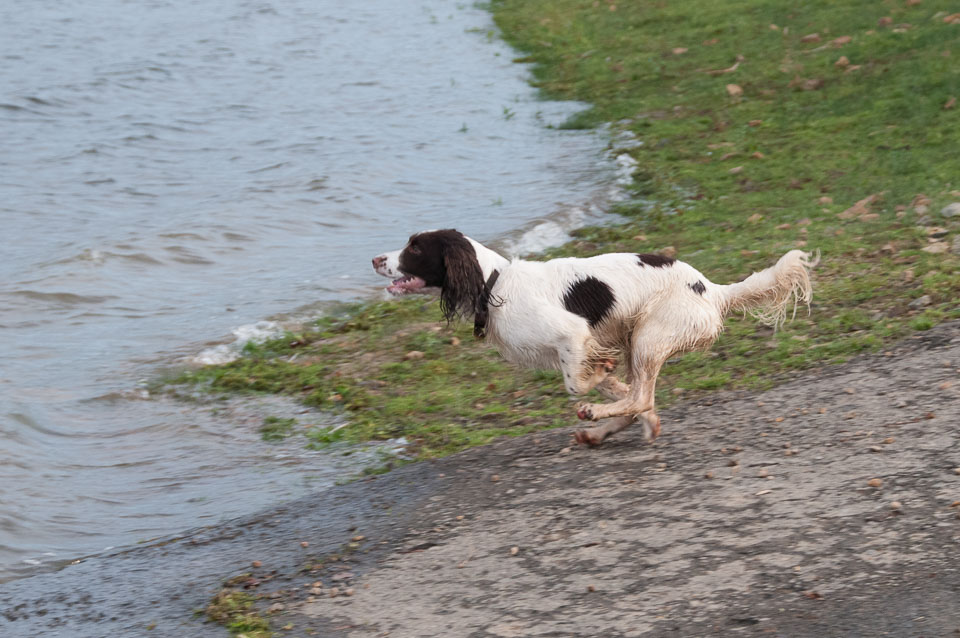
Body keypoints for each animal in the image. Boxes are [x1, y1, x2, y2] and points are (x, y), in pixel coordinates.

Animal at [372, 232, 812, 448]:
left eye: (415, 247)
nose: (376, 259)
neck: (494, 285)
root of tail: (713, 291)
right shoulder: (569, 348)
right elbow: (607, 383)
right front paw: (607, 381)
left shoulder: (572, 333)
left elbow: (578, 383)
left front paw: (599, 378)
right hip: (638, 339)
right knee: (641, 398)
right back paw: (607, 429)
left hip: (649, 336)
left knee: (640, 396)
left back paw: (595, 416)